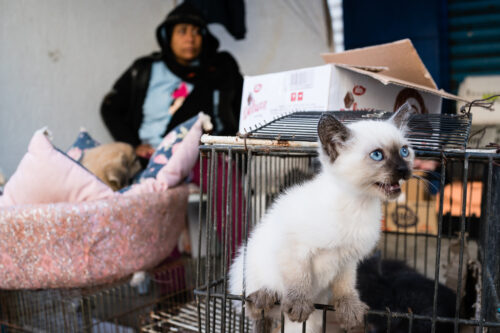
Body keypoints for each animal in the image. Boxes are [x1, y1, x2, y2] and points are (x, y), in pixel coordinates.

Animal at [227, 104, 414, 332]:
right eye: (377, 155)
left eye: (404, 151)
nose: (404, 170)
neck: (358, 204)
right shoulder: (295, 249)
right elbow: (300, 278)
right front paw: (299, 304)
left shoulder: (348, 259)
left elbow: (345, 286)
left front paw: (350, 310)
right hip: (246, 265)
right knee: (250, 307)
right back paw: (264, 297)